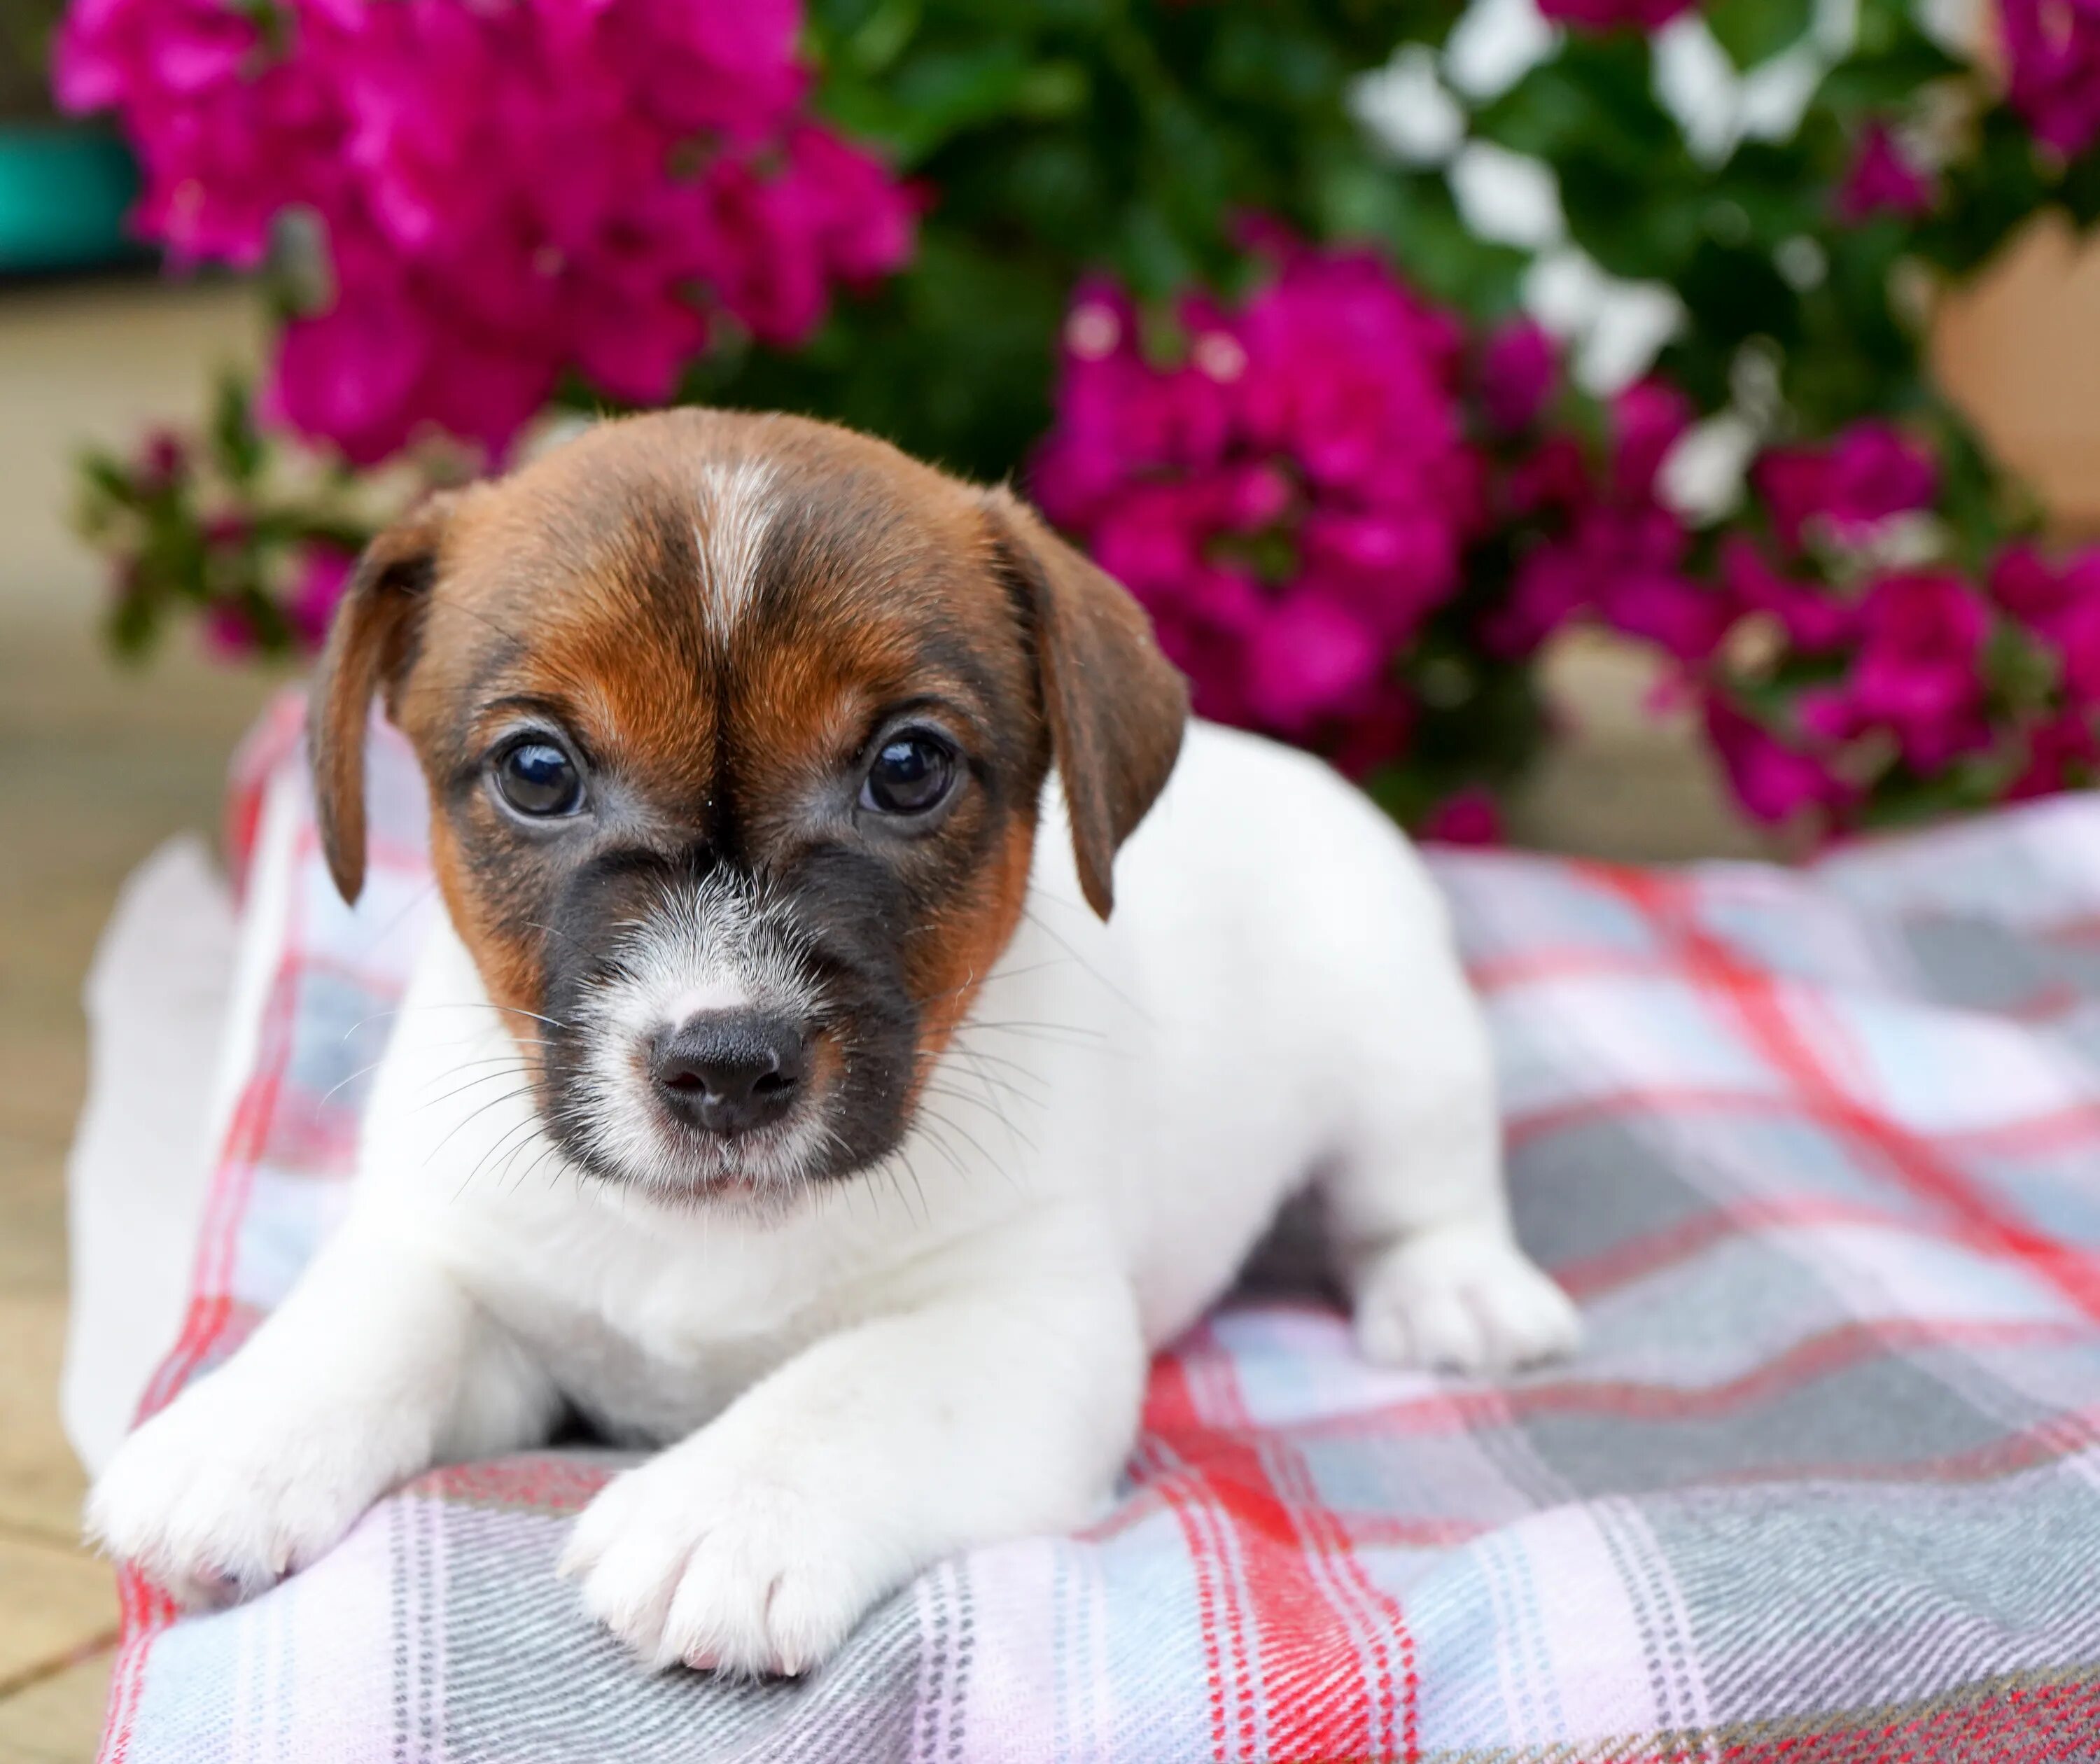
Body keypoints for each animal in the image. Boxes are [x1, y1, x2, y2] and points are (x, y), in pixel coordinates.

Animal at [86, 407, 1579, 1672]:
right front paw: (236, 1435)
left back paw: (1458, 1294)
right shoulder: (474, 1265)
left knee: (1419, 1195)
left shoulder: (1025, 1325)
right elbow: (373, 1315)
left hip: (1402, 1055)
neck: (711, 1238)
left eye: (908, 769)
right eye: (537, 771)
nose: (725, 1070)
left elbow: (858, 1387)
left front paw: (726, 1511)